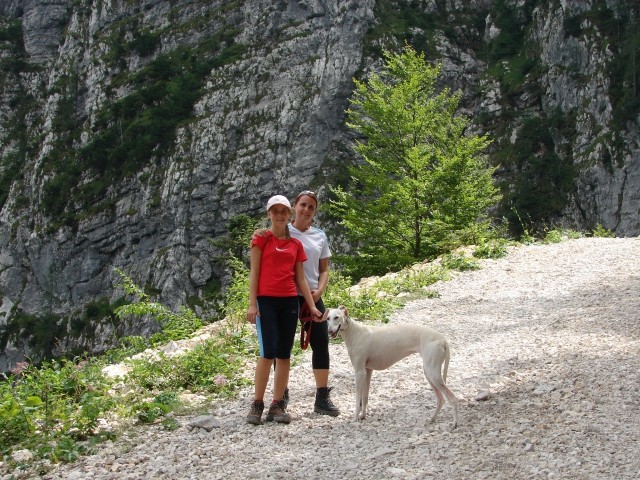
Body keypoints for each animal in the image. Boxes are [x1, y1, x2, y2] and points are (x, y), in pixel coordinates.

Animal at [328, 304, 458, 428]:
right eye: (328, 318)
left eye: (337, 317)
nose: (329, 331)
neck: (355, 332)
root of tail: (442, 339)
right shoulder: (368, 371)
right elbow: (364, 397)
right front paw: (363, 416)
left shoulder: (359, 372)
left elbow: (357, 399)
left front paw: (354, 418)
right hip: (429, 374)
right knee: (441, 398)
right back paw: (432, 419)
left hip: (433, 373)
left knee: (452, 398)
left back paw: (455, 424)